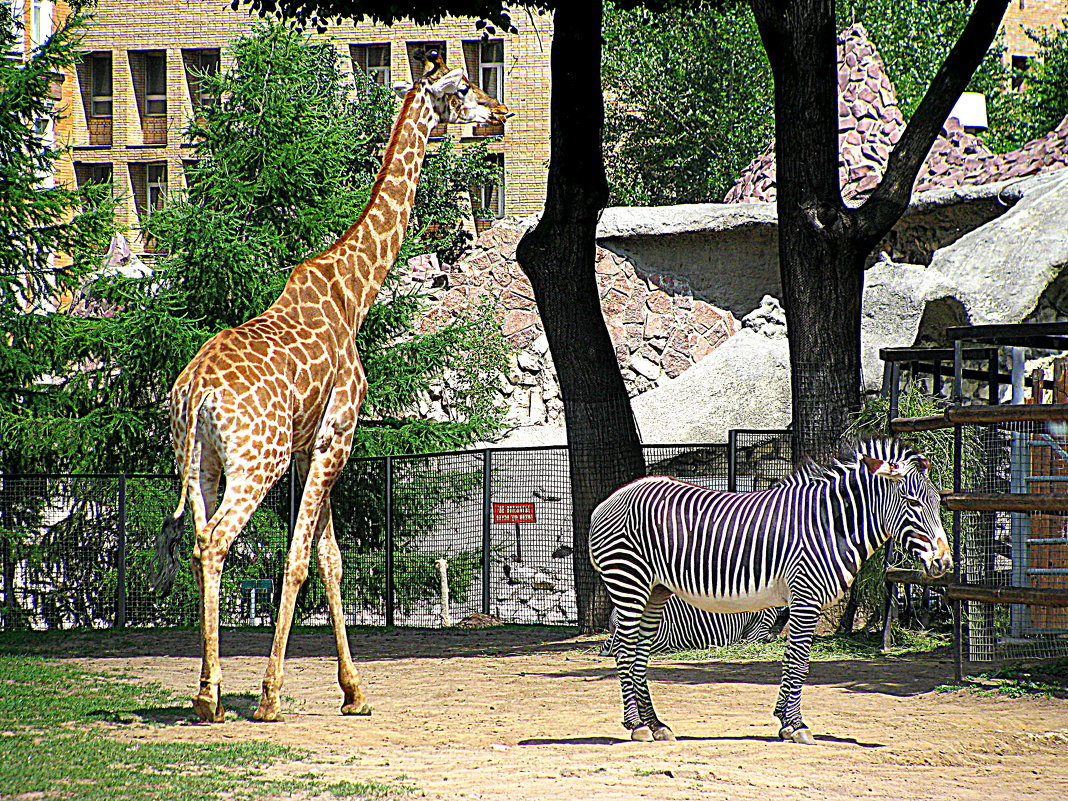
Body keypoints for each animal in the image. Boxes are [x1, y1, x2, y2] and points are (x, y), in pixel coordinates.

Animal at [153, 53, 512, 726]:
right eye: (463, 87)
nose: (500, 113)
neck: (356, 293)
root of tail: (196, 394)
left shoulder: (308, 444)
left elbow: (329, 560)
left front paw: (353, 690)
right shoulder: (336, 438)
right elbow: (300, 561)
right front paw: (272, 694)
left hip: (202, 461)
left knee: (198, 541)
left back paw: (208, 691)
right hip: (255, 462)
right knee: (217, 543)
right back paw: (217, 696)